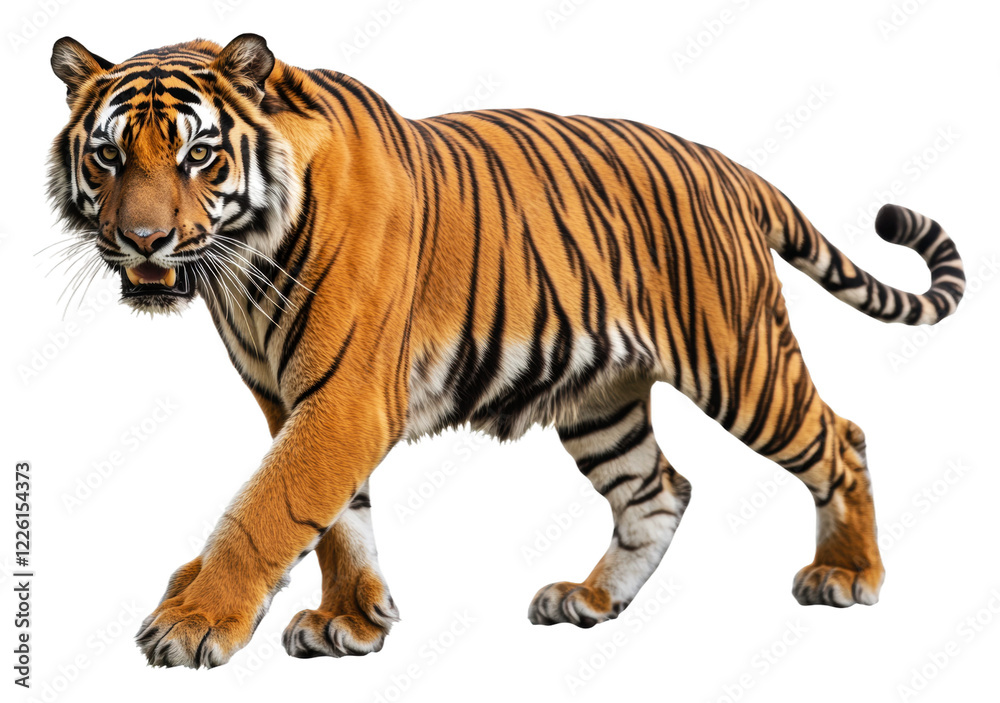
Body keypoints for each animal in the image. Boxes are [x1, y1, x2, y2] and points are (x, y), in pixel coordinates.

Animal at [48, 33, 965, 669]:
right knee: (658, 490)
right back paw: (592, 599)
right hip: (602, 399)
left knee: (840, 438)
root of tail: (729, 167)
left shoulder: (344, 399)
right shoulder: (294, 400)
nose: (141, 241)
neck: (243, 262)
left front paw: (193, 621)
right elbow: (339, 518)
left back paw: (848, 575)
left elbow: (268, 507)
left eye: (198, 154)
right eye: (109, 154)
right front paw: (354, 620)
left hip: (739, 360)